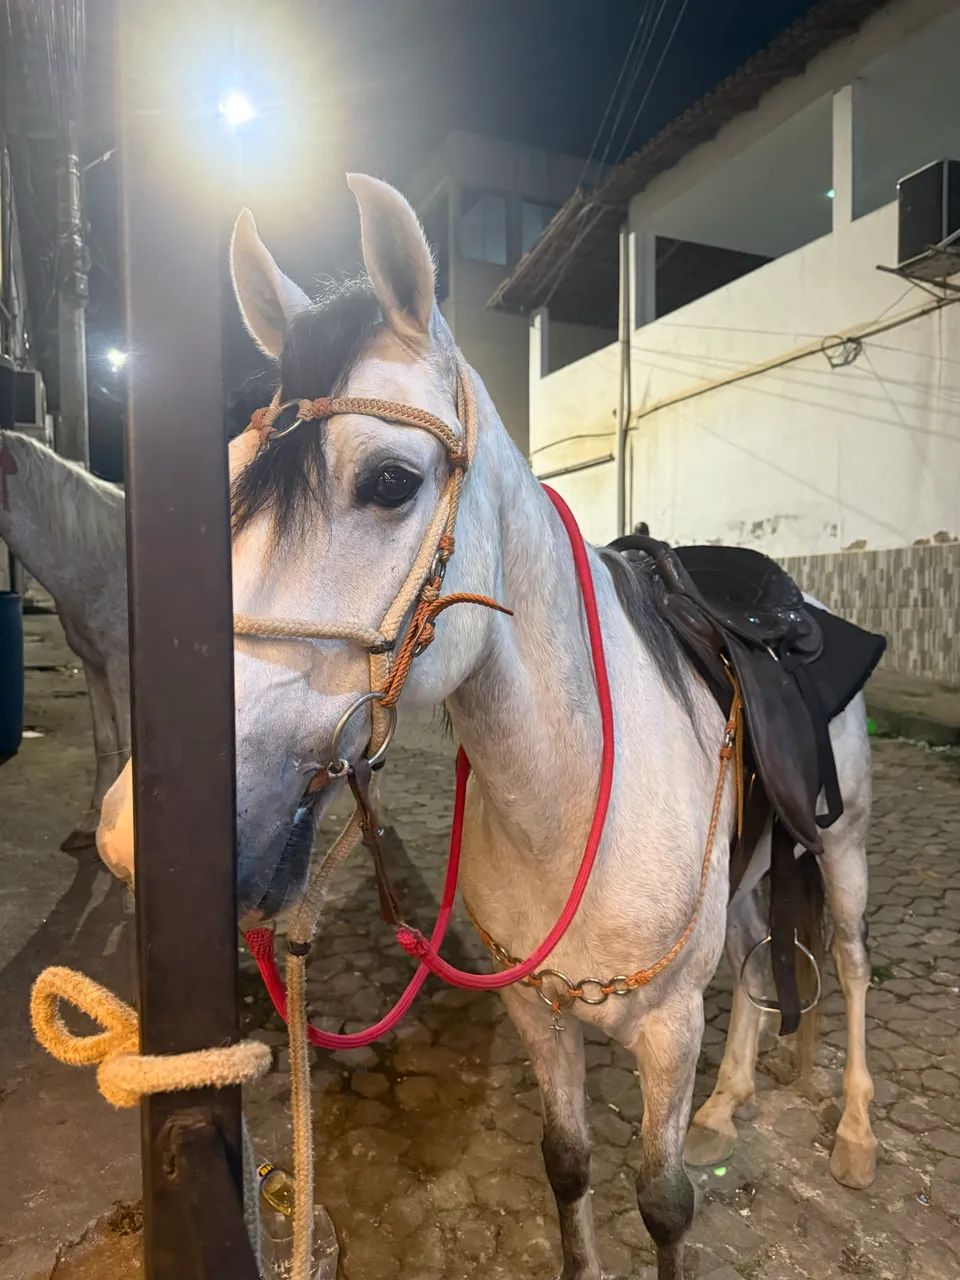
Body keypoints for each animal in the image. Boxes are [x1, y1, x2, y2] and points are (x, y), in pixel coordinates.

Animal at [97, 174, 877, 1279]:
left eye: (390, 480)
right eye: (233, 475)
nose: (136, 836)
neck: (572, 791)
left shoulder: (668, 1025)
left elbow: (665, 1202)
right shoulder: (537, 1008)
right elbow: (567, 1163)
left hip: (841, 848)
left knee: (845, 960)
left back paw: (853, 1130)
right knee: (759, 948)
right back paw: (730, 1102)